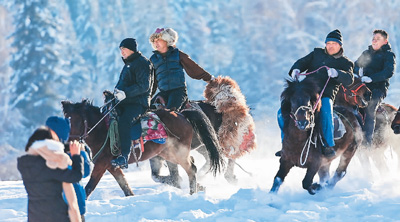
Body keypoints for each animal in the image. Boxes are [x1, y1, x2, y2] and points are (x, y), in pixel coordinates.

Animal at [63, 98, 223, 197]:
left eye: (73, 120)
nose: (66, 145)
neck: (102, 131)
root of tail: (182, 114)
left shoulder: (102, 164)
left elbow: (89, 187)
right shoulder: (112, 165)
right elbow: (125, 186)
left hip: (178, 152)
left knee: (191, 169)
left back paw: (192, 192)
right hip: (167, 153)